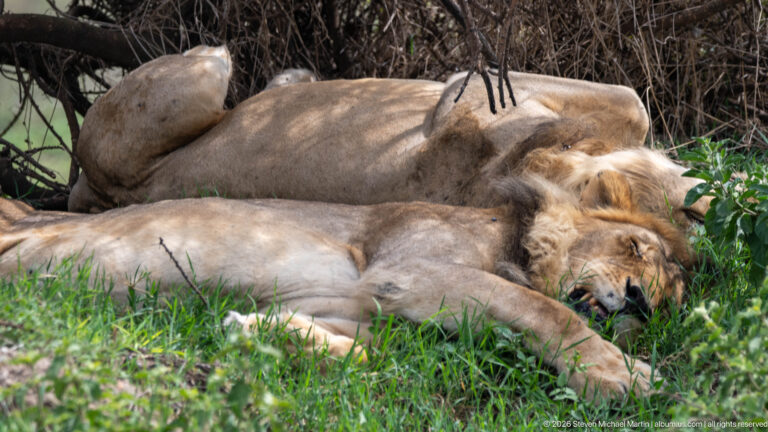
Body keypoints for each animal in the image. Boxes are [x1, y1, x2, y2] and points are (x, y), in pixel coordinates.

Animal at [4, 172, 691, 399]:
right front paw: (618, 374)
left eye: (665, 307)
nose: (639, 299)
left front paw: (257, 332)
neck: (516, 242)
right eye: (636, 249)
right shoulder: (409, 269)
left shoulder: (372, 306)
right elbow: (545, 309)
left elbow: (367, 354)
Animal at [68, 46, 708, 227]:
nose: (712, 203)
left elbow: (632, 109)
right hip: (204, 75)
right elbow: (634, 103)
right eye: (694, 214)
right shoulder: (466, 94)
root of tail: (101, 196)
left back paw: (294, 78)